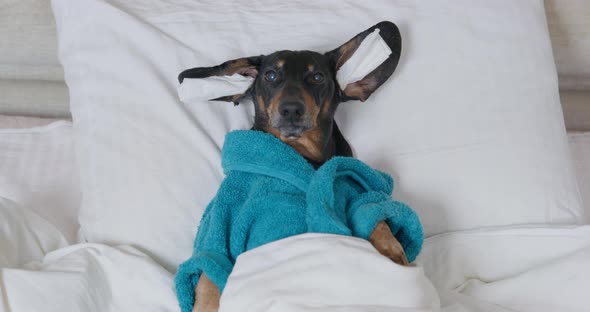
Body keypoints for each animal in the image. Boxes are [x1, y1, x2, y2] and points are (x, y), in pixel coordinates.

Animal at [178, 20, 404, 310]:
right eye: (271, 75)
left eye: (318, 77)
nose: (291, 109)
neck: (300, 153)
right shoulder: (220, 220)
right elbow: (209, 272)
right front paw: (206, 303)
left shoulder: (352, 187)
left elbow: (374, 216)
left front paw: (391, 248)